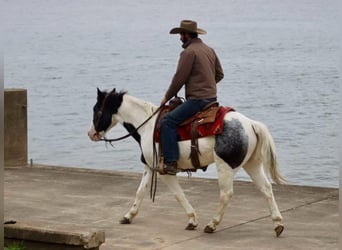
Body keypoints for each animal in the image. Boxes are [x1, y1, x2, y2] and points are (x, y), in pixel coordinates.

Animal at [88, 87, 286, 236]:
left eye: (96, 109)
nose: (91, 133)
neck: (147, 126)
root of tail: (251, 124)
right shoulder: (150, 166)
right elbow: (140, 191)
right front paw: (129, 216)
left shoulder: (164, 170)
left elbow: (178, 194)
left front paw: (192, 220)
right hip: (252, 164)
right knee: (266, 189)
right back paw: (277, 224)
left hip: (225, 167)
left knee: (226, 194)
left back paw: (212, 224)